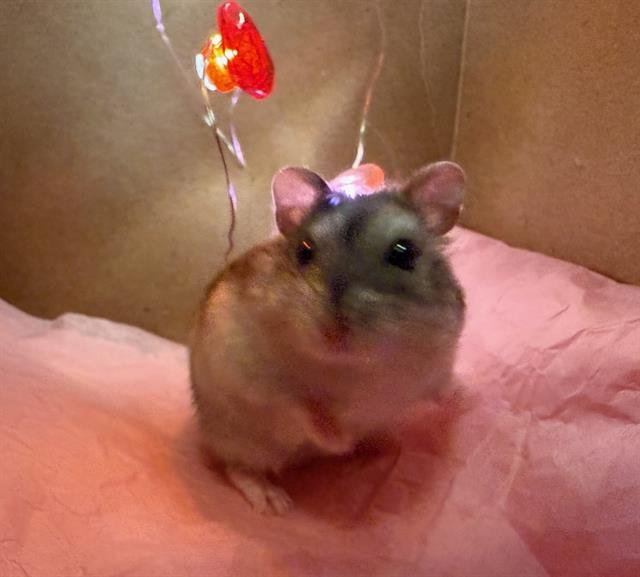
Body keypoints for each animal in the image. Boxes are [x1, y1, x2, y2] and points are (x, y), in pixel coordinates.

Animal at [189, 161, 466, 513]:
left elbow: (440, 383)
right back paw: (274, 500)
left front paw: (462, 397)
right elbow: (300, 404)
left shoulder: (442, 355)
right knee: (238, 468)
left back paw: (380, 449)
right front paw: (339, 441)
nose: (334, 334)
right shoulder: (254, 376)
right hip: (237, 438)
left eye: (404, 253)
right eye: (304, 251)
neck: (353, 366)